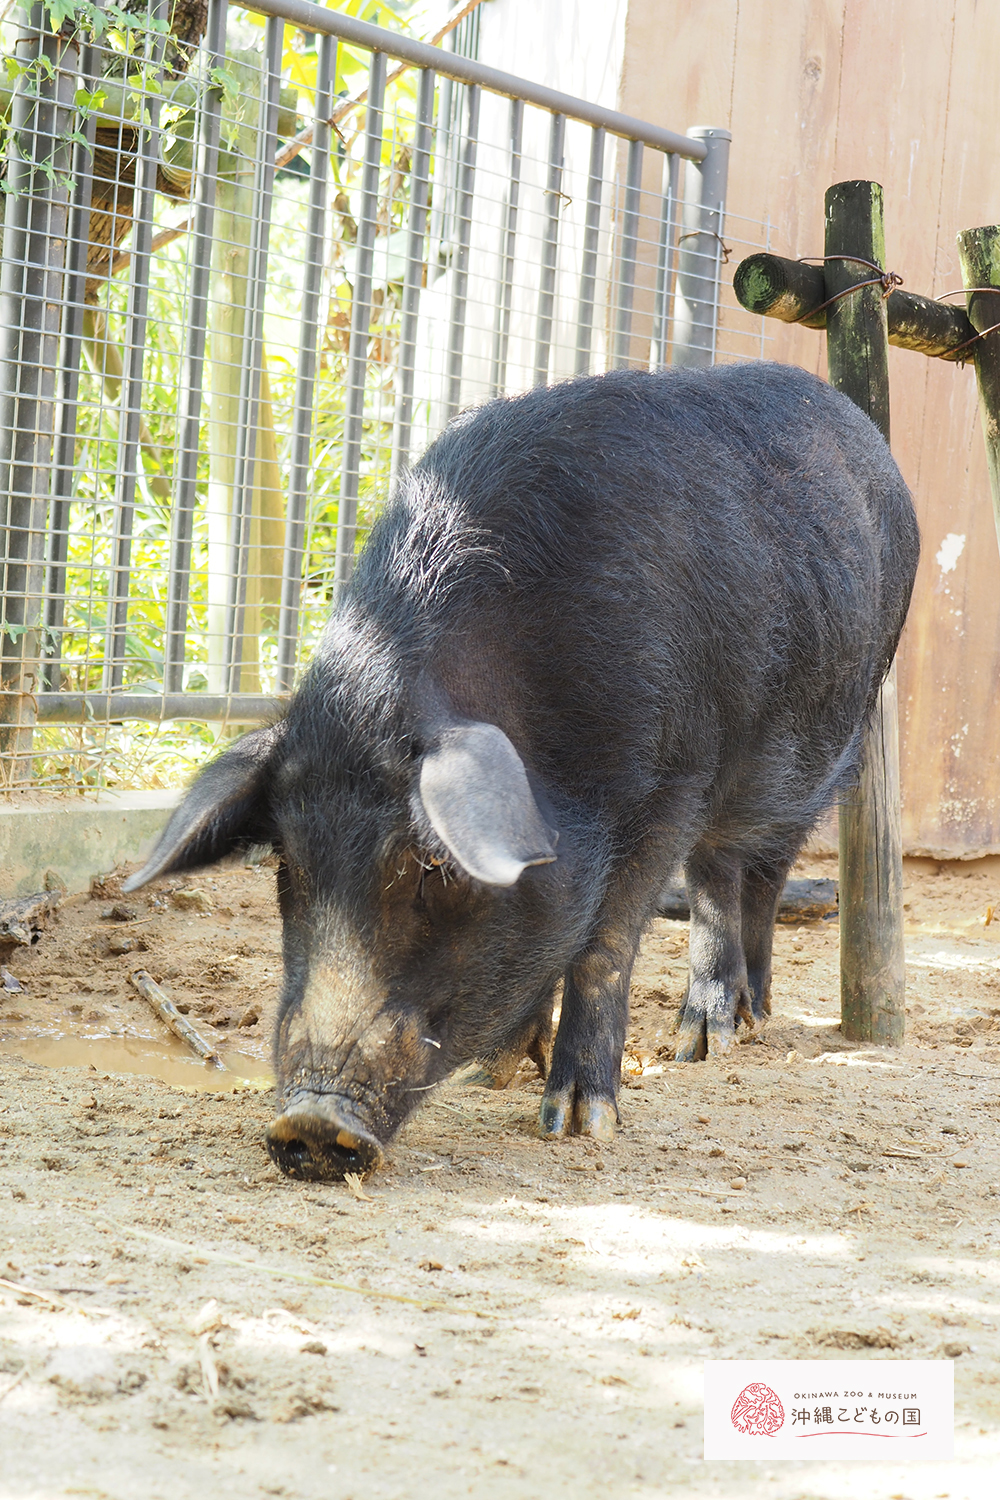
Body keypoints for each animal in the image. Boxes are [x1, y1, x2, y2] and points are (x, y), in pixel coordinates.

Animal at [127, 360, 923, 1170]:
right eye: (289, 865)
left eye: (435, 865)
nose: (312, 1123)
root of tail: (863, 428)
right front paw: (496, 1072)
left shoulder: (675, 780)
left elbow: (606, 941)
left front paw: (578, 1122)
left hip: (834, 732)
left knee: (747, 872)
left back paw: (722, 1033)